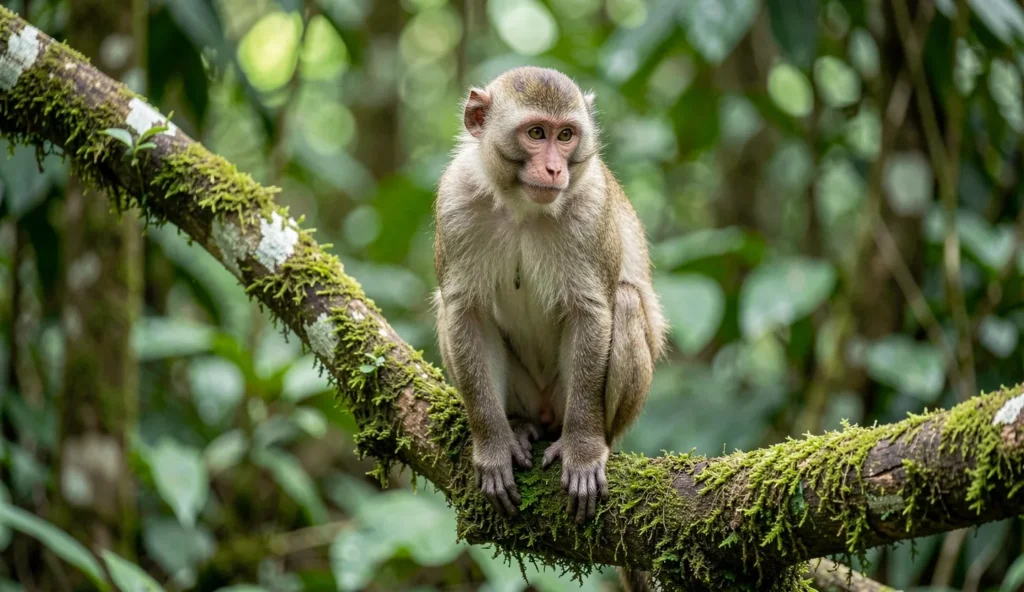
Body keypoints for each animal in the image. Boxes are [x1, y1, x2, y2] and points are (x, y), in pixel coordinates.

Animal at [432, 66, 667, 527]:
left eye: (566, 136)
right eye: (536, 133)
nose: (555, 168)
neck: (520, 207)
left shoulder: (591, 209)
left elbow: (591, 313)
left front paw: (584, 451)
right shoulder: (455, 202)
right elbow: (465, 314)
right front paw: (493, 448)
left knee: (626, 301)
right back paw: (520, 424)